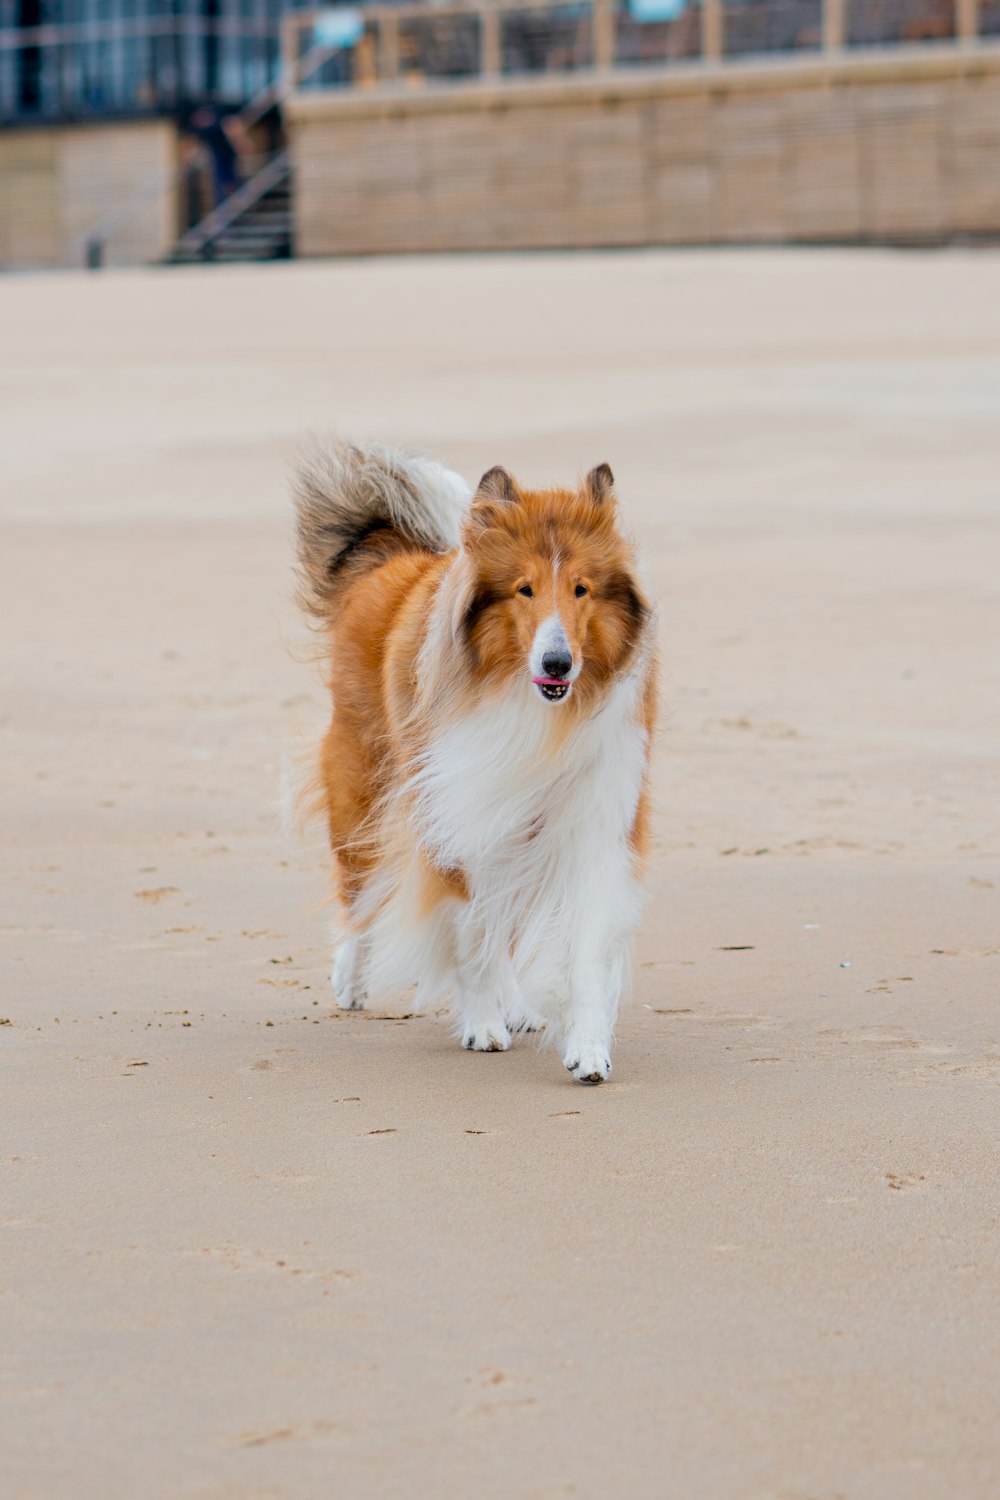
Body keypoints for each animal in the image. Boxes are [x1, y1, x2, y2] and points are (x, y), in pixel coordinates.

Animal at [293, 438, 659, 1086]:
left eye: (582, 588)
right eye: (524, 588)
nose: (559, 663)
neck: (531, 709)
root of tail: (397, 557)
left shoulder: (597, 822)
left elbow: (587, 948)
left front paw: (589, 1050)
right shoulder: (453, 814)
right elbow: (470, 931)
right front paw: (483, 1024)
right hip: (363, 788)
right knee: (361, 891)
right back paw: (353, 980)